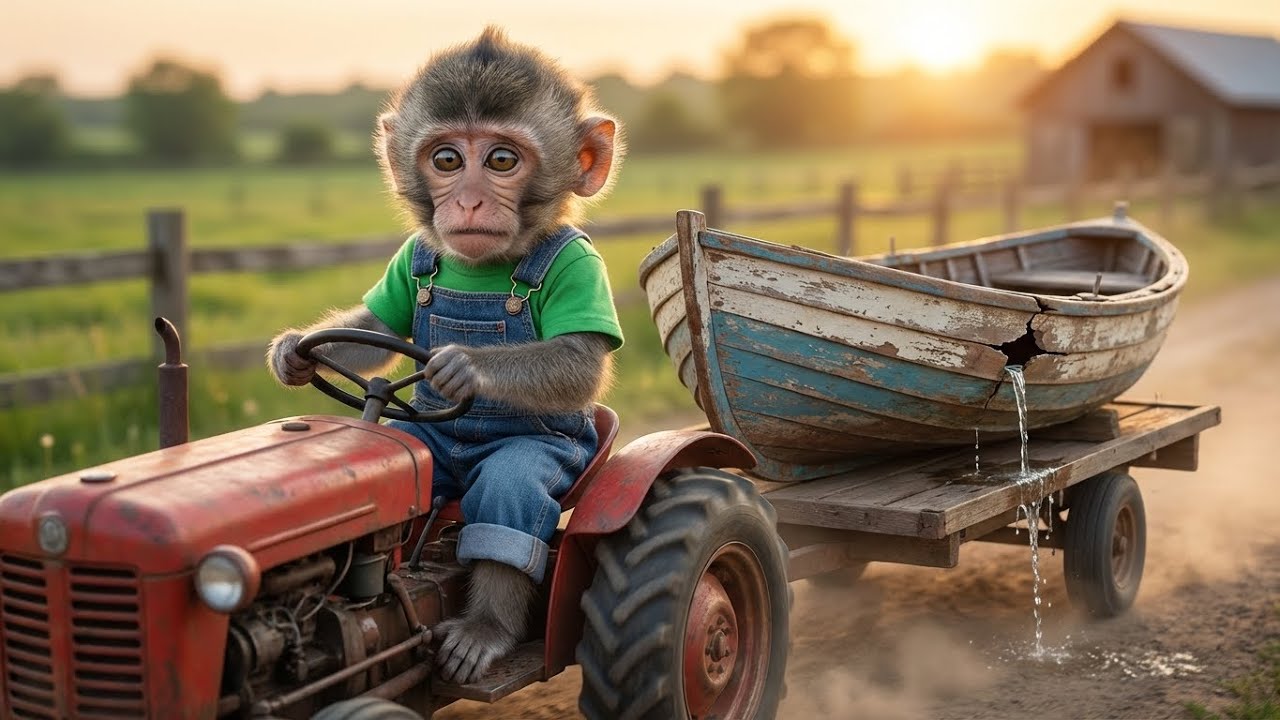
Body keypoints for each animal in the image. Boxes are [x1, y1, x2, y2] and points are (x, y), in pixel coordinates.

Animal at [266, 27, 625, 684]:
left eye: (502, 161)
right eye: (447, 160)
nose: (471, 203)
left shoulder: (579, 265)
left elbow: (580, 358)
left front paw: (464, 367)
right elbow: (375, 323)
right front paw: (289, 353)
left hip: (558, 462)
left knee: (508, 508)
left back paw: (483, 634)